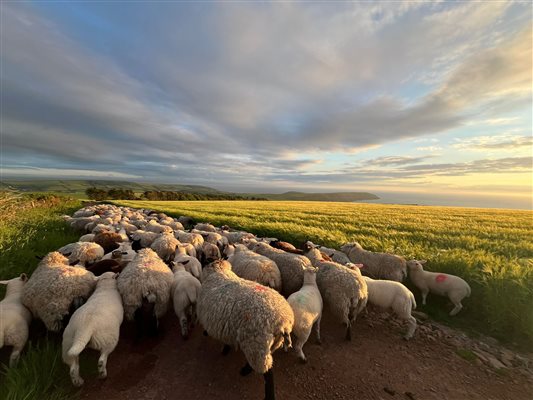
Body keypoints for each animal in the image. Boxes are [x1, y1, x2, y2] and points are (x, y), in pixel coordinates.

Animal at [196, 260, 294, 400]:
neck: (218, 271)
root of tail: (283, 322)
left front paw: (219, 345)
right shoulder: (226, 325)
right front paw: (226, 349)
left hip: (256, 344)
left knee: (268, 373)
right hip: (270, 345)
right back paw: (247, 369)